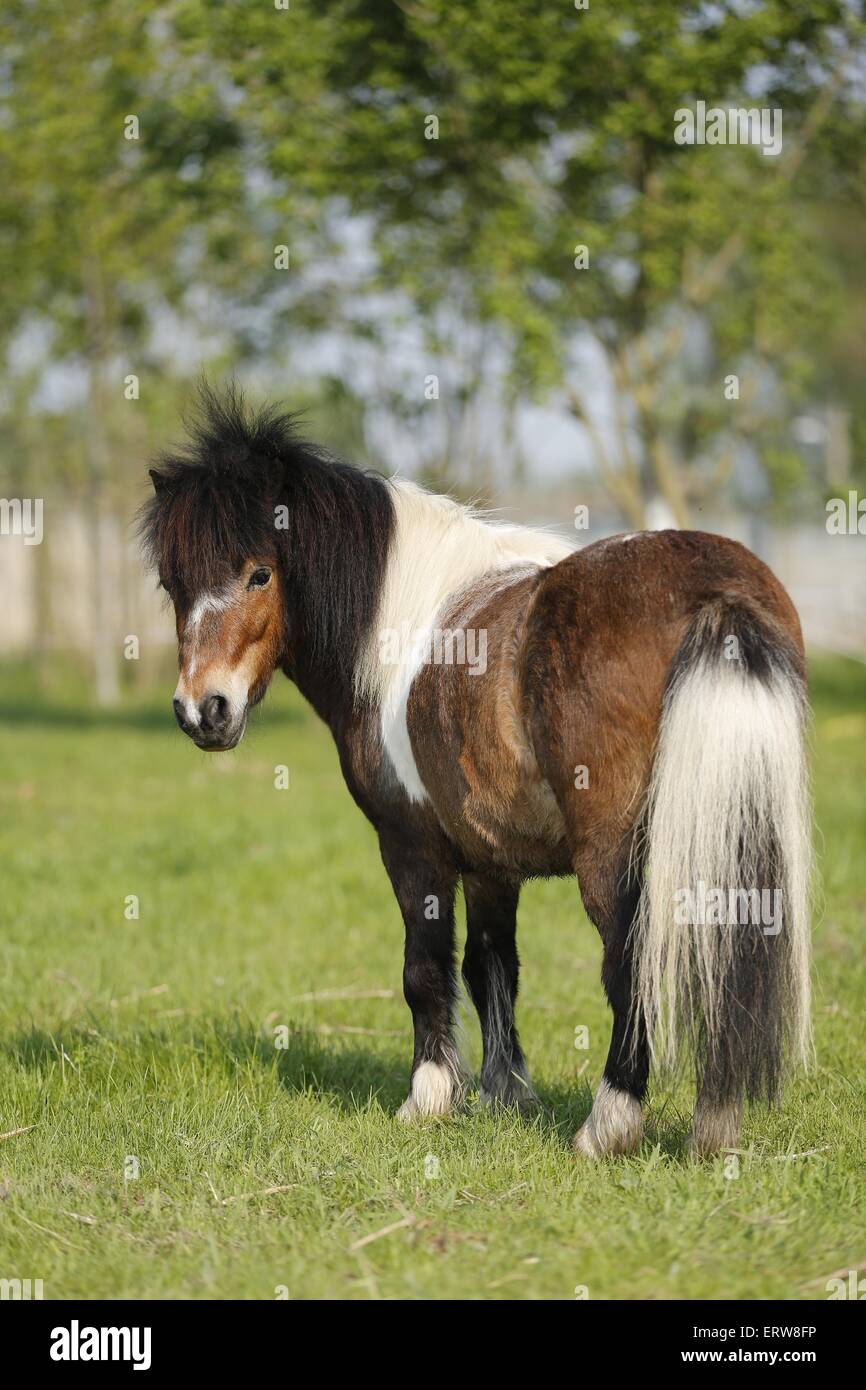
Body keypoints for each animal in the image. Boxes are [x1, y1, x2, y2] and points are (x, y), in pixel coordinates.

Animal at [140, 386, 811, 1156]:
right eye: (173, 583)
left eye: (259, 572)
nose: (203, 710)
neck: (394, 623)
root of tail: (718, 600)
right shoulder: (492, 858)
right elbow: (493, 967)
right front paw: (503, 1094)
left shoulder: (412, 846)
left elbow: (426, 968)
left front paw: (429, 1099)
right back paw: (714, 1125)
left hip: (613, 857)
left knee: (631, 967)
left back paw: (607, 1125)